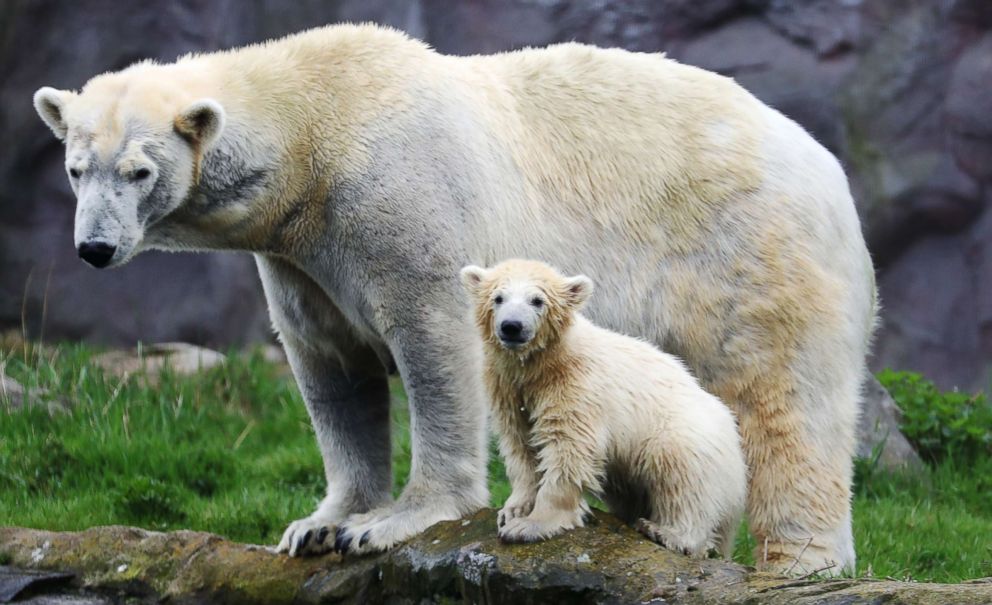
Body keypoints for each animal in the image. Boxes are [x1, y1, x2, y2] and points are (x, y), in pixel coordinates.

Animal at [33, 22, 876, 572]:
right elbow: (332, 371)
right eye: (75, 166)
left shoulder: (399, 204)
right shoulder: (300, 255)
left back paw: (800, 562)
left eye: (140, 171)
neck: (313, 135)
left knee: (782, 403)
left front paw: (394, 522)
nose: (94, 248)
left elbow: (436, 345)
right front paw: (320, 524)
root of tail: (829, 168)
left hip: (752, 256)